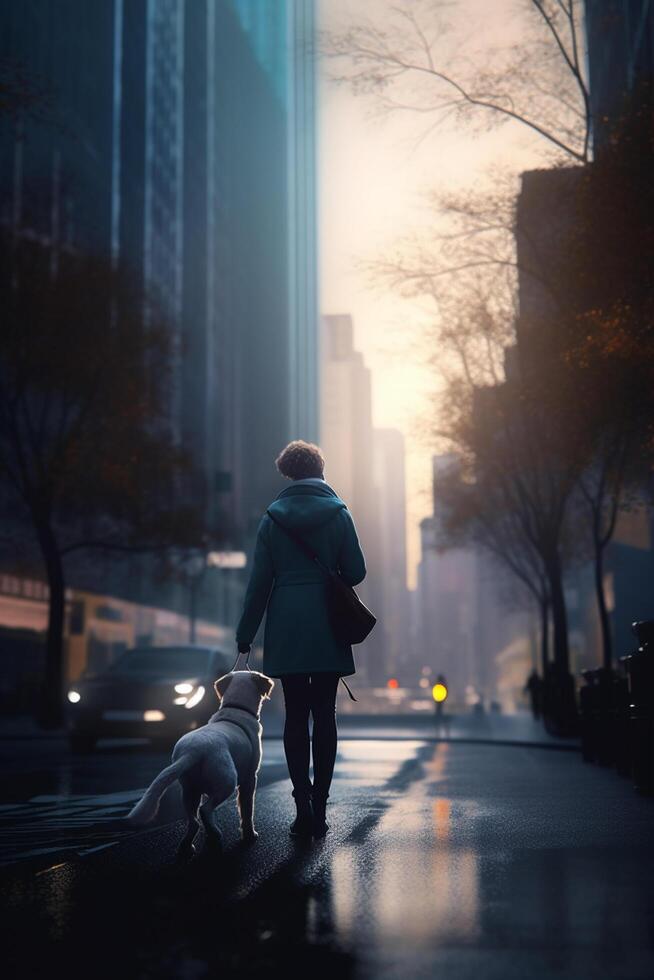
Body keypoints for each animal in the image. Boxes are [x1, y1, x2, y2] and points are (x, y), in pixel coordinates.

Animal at [125, 668, 274, 856]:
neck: (236, 708)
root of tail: (193, 751)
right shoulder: (250, 779)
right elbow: (247, 811)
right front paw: (249, 835)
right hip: (227, 782)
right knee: (205, 810)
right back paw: (215, 834)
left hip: (190, 790)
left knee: (194, 820)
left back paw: (188, 846)